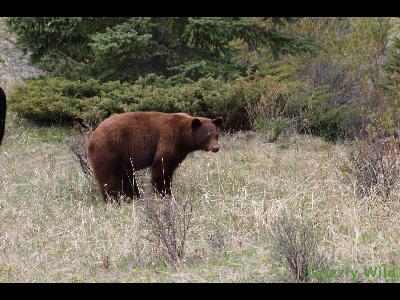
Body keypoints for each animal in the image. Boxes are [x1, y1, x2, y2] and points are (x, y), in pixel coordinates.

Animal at [86, 111, 222, 203]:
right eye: (207, 136)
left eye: (216, 135)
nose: (216, 148)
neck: (182, 135)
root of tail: (92, 137)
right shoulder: (168, 139)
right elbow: (161, 167)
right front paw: (164, 194)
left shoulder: (179, 151)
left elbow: (169, 169)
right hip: (108, 150)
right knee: (109, 177)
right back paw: (113, 200)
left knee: (127, 177)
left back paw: (133, 197)